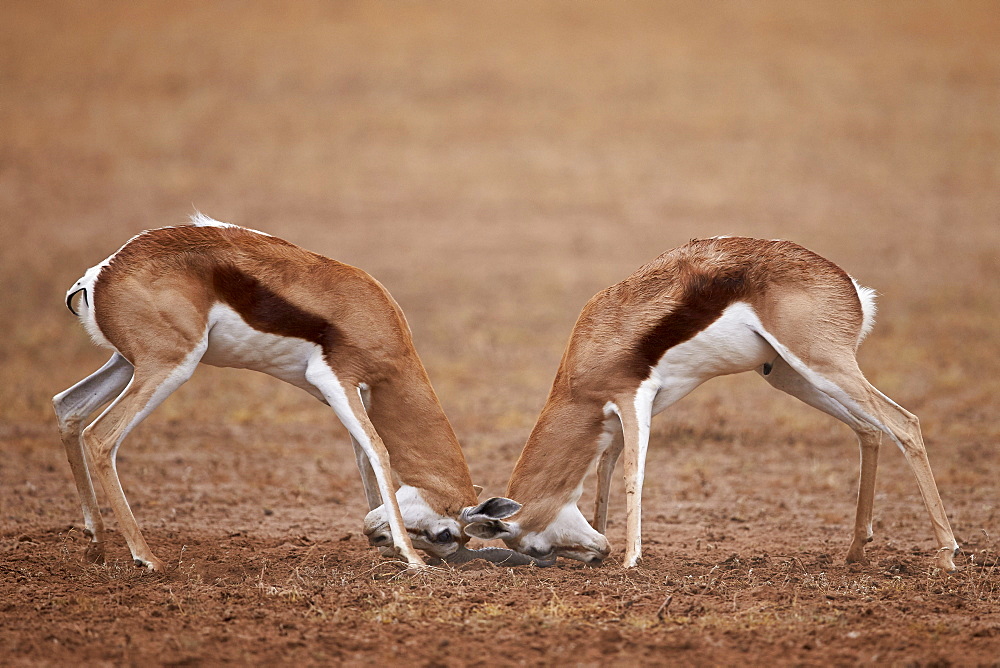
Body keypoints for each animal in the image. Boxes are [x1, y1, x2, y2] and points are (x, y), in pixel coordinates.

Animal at [53, 217, 540, 572]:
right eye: (445, 536)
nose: (377, 536)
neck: (379, 323)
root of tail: (100, 275)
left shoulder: (350, 395)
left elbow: (364, 457)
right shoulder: (336, 379)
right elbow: (379, 450)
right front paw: (413, 560)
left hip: (127, 363)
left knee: (68, 408)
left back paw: (95, 546)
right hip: (170, 366)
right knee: (101, 437)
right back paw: (147, 559)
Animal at [500, 235, 960, 568]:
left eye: (534, 549)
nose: (599, 555)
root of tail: (849, 286)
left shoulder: (632, 399)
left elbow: (634, 476)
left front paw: (631, 560)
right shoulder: (614, 421)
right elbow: (604, 473)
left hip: (823, 366)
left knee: (904, 423)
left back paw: (946, 555)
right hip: (791, 376)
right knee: (869, 430)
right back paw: (855, 551)